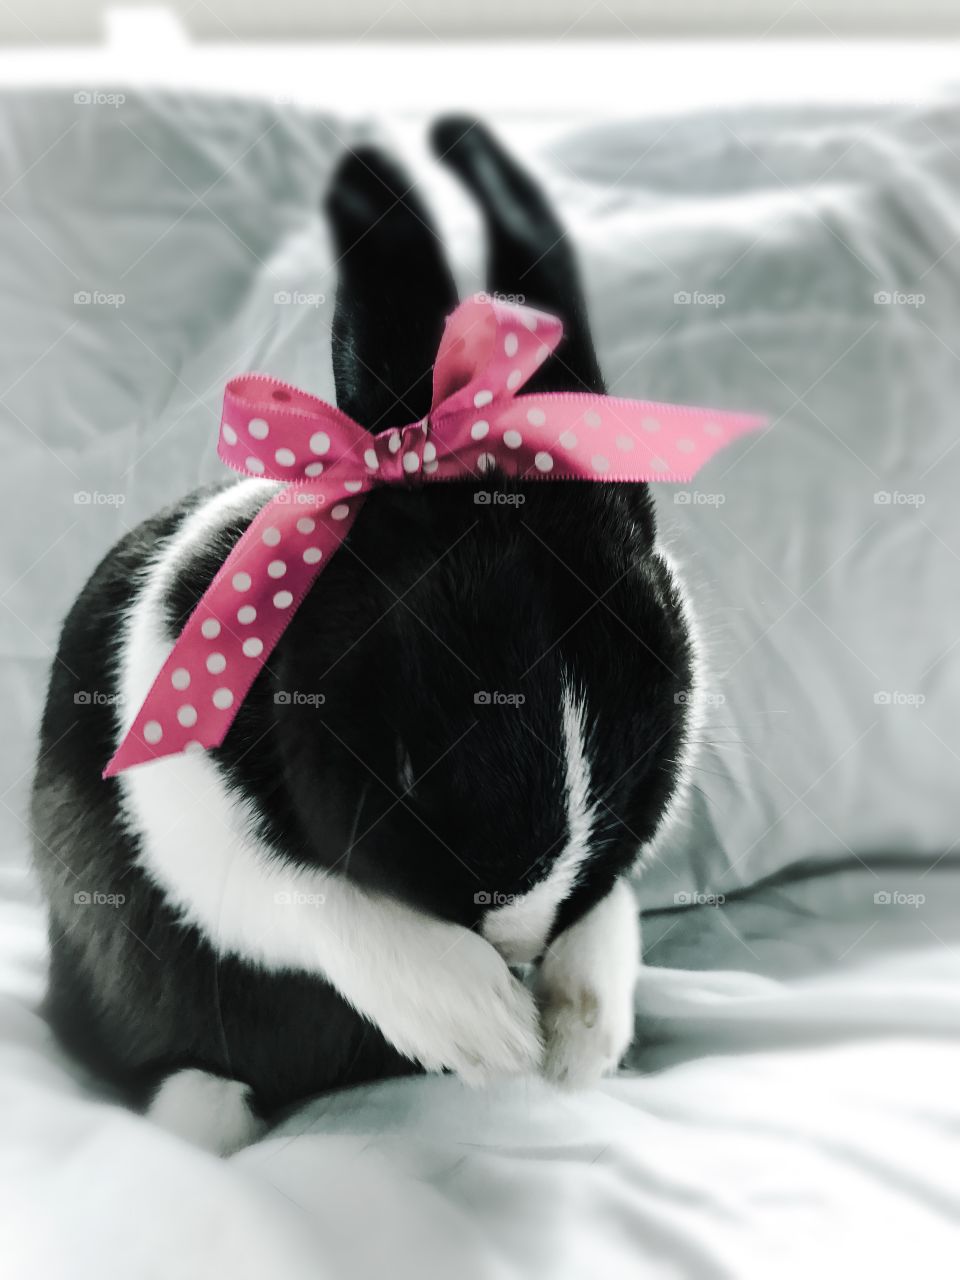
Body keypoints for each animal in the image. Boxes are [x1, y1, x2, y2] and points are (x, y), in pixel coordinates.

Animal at [30, 117, 697, 1156]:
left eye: (645, 773)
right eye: (411, 768)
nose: (514, 936)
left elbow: (613, 912)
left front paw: (577, 1043)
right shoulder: (192, 816)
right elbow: (310, 901)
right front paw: (488, 1028)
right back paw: (206, 1118)